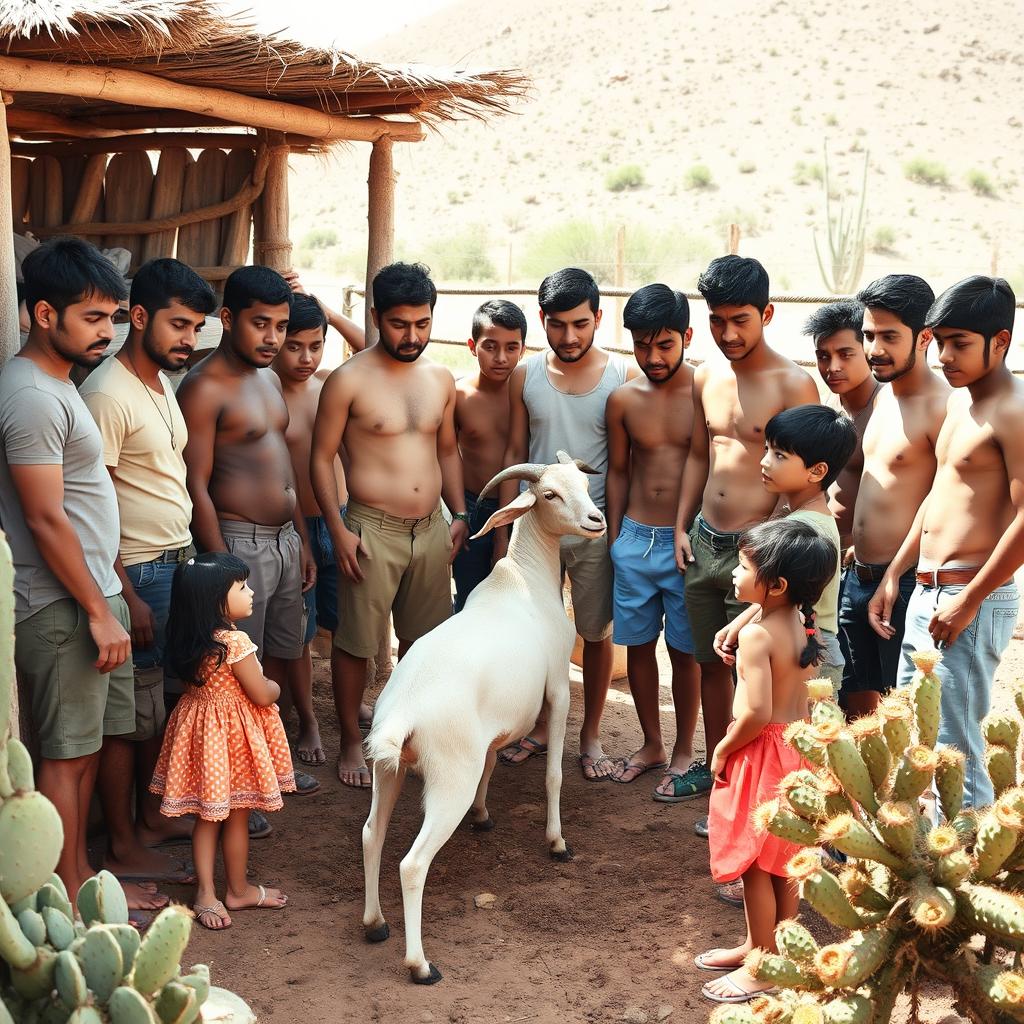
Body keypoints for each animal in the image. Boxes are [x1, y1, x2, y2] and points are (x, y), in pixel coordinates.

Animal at [360, 454, 602, 983]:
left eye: (584, 482)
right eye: (549, 494)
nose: (597, 521)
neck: (526, 582)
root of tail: (402, 710)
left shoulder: (492, 734)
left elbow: (493, 762)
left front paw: (484, 815)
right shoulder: (558, 690)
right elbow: (553, 775)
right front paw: (557, 843)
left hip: (387, 769)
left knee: (371, 834)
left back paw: (374, 924)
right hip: (449, 777)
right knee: (412, 864)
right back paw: (420, 965)